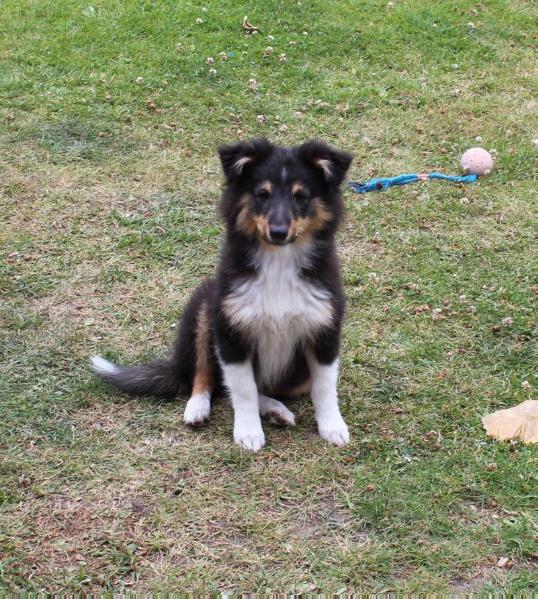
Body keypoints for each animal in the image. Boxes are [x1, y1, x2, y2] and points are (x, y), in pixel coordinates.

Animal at [92, 139, 352, 450]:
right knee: (207, 374)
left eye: (301, 196)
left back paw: (276, 410)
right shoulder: (231, 329)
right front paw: (249, 433)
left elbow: (324, 386)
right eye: (262, 195)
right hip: (205, 305)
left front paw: (333, 427)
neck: (278, 261)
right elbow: (242, 389)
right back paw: (198, 408)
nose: (278, 232)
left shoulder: (324, 327)